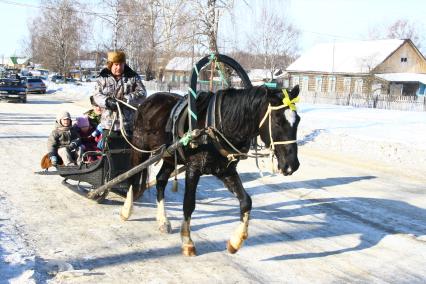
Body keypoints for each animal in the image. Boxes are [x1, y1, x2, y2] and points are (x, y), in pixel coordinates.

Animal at [126, 85, 300, 256]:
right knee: (132, 176)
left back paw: (163, 220)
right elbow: (188, 204)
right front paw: (187, 241)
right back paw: (127, 209)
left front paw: (235, 242)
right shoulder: (193, 168)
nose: (292, 165)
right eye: (277, 121)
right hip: (139, 146)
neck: (216, 127)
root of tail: (148, 100)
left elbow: (246, 202)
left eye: (297, 120)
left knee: (161, 180)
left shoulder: (226, 171)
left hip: (169, 156)